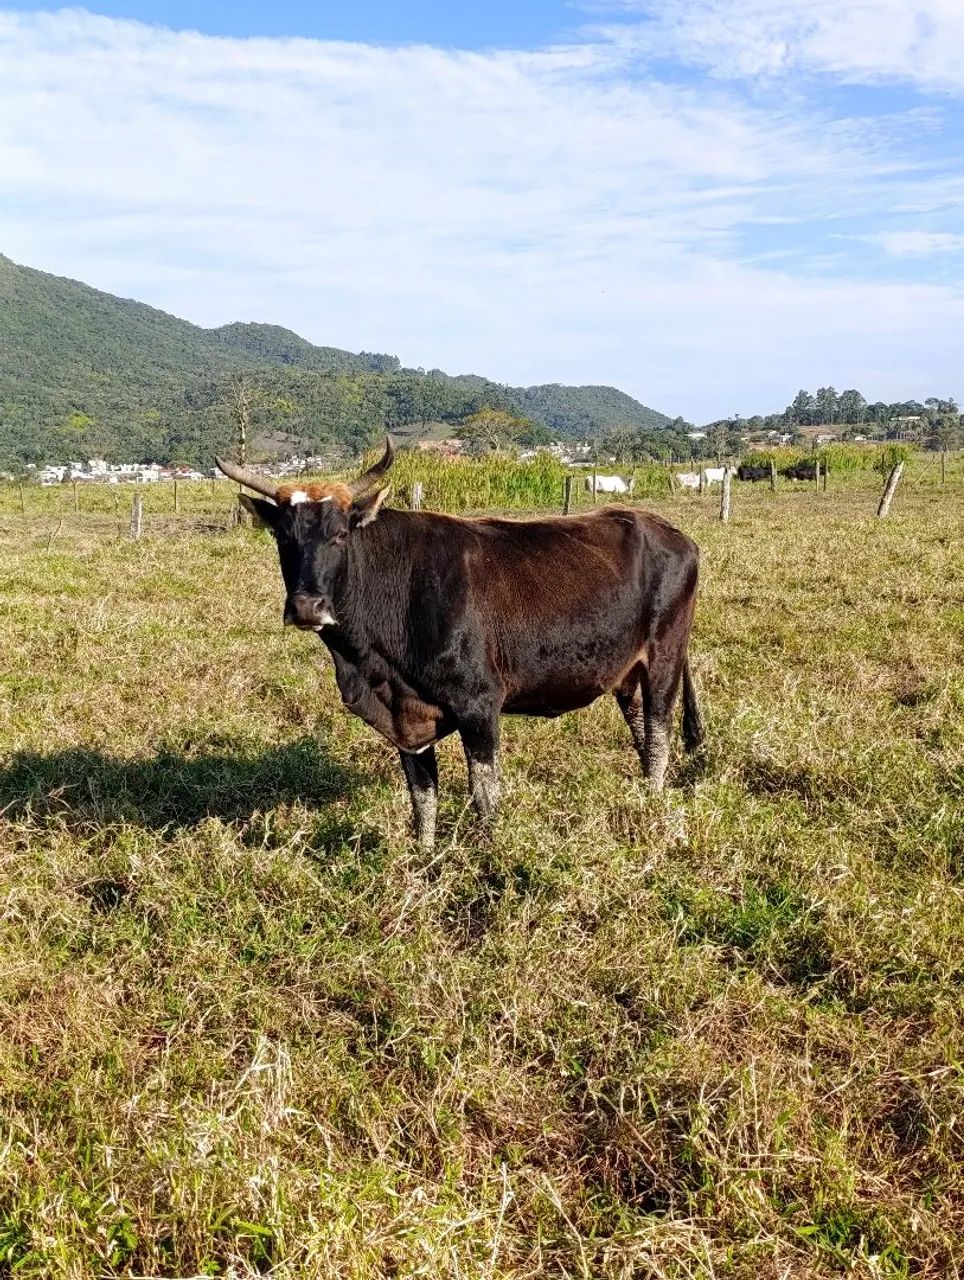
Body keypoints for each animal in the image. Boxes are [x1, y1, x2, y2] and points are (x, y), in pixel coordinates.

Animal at [215, 442, 704, 849]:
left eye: (340, 534)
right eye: (283, 536)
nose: (307, 606)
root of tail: (669, 530)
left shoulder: (479, 704)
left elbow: (484, 794)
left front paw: (490, 854)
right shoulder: (408, 718)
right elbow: (422, 798)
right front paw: (424, 857)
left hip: (664, 659)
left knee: (658, 737)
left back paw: (652, 806)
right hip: (626, 673)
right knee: (640, 730)